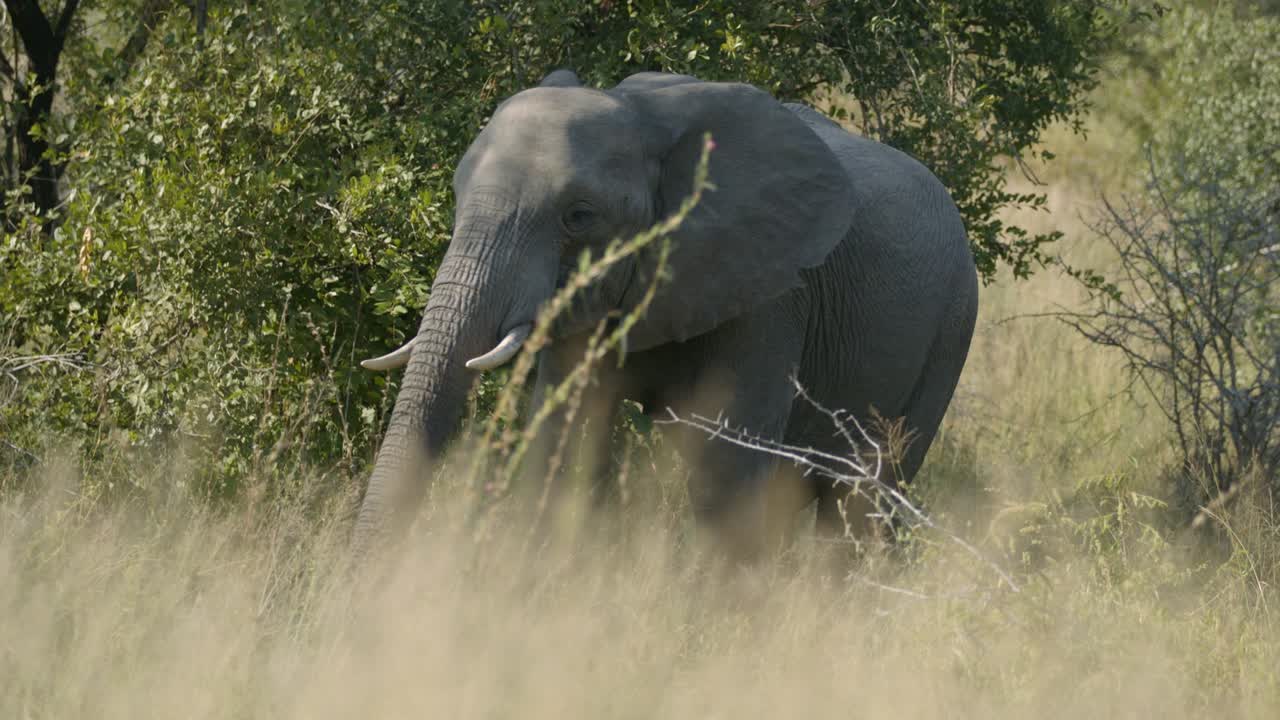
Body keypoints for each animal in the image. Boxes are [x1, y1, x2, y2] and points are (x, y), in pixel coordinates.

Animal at [351, 69, 978, 559]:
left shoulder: (770, 291)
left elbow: (728, 473)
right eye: (457, 197)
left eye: (579, 216)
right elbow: (566, 447)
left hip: (951, 327)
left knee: (865, 498)